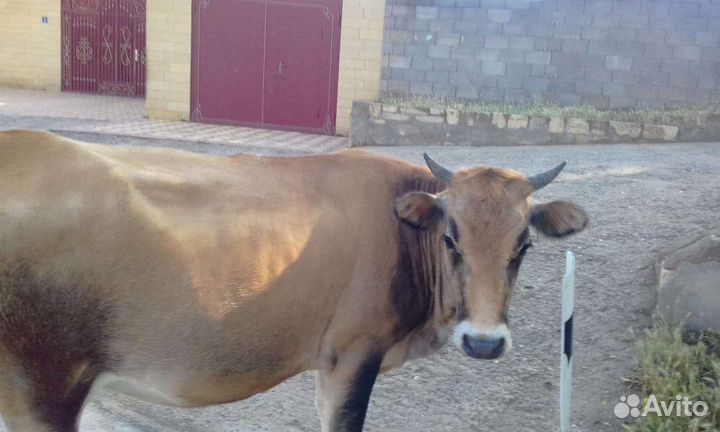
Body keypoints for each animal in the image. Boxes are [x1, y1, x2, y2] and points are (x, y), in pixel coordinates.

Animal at [0, 129, 588, 432]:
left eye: (524, 245)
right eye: (451, 238)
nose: (484, 342)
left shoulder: (329, 363)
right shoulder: (355, 350)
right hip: (45, 386)